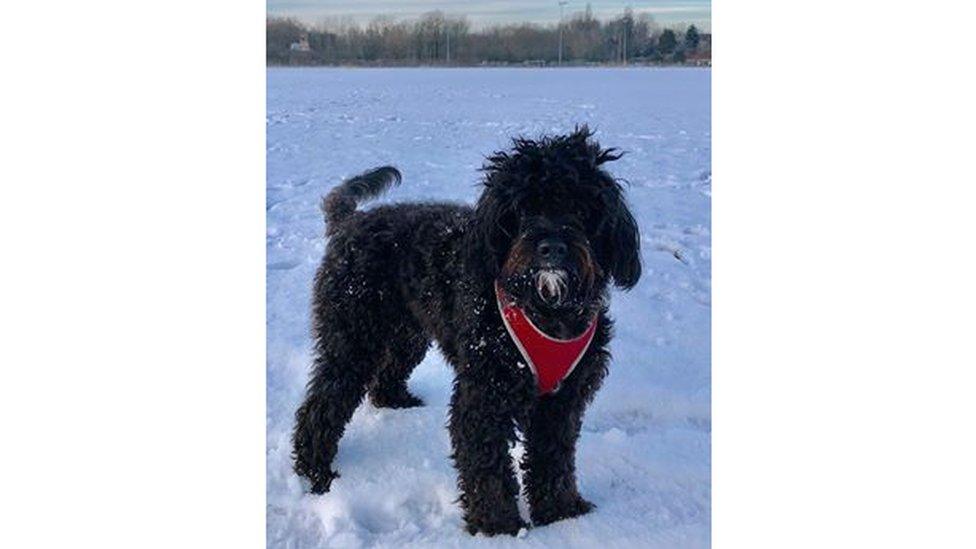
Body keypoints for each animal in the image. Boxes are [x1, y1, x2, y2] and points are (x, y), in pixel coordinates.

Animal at [290, 126, 640, 532]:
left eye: (581, 208)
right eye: (523, 209)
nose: (552, 247)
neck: (545, 309)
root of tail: (350, 222)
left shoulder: (563, 399)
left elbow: (554, 460)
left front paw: (561, 512)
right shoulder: (484, 395)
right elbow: (487, 465)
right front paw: (498, 525)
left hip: (407, 332)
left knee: (386, 373)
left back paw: (395, 399)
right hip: (352, 337)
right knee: (321, 405)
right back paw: (315, 472)